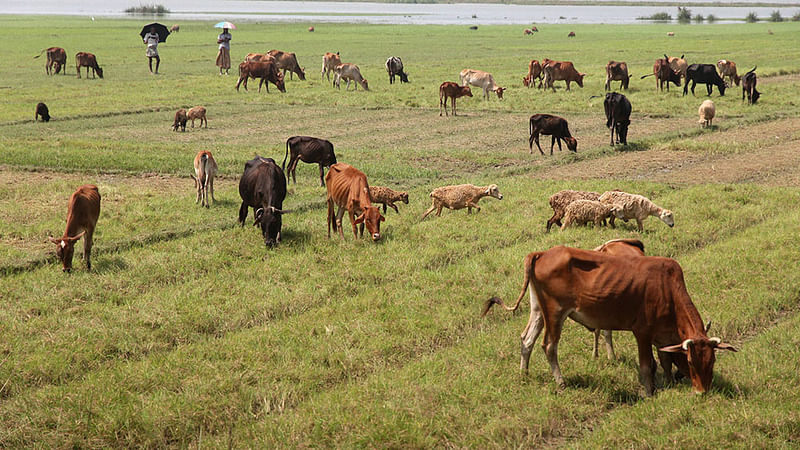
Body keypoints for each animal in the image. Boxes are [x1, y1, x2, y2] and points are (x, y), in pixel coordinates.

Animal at [482, 246, 736, 398]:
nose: (702, 392)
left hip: (538, 310)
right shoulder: (642, 333)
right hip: (555, 313)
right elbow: (648, 365)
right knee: (549, 346)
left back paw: (524, 374)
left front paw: (668, 382)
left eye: (712, 361)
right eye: (691, 362)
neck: (667, 288)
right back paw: (561, 382)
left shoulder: (662, 337)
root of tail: (542, 253)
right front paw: (649, 392)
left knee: (527, 340)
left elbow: (664, 360)